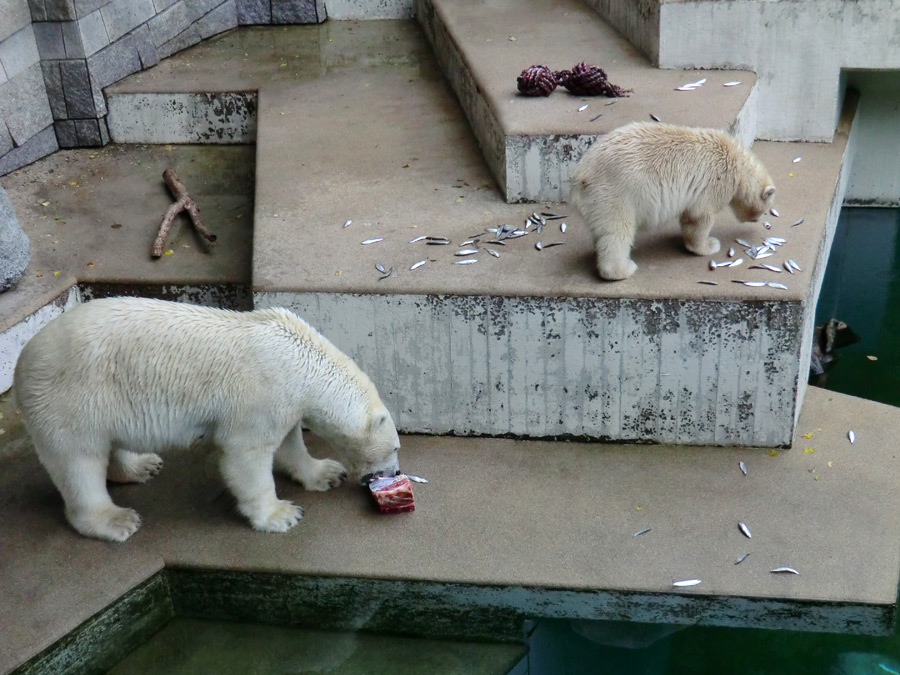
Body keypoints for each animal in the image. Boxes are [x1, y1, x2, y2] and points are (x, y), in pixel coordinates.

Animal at [13, 298, 400, 540]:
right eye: (395, 448)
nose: (393, 473)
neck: (300, 358)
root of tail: (22, 361)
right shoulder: (260, 392)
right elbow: (245, 454)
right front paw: (281, 514)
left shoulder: (283, 400)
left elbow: (290, 442)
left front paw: (326, 473)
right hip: (69, 399)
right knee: (78, 461)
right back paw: (116, 520)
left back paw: (142, 466)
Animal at [568, 121, 772, 280]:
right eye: (766, 208)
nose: (757, 219)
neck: (736, 161)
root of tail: (581, 174)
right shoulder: (715, 181)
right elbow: (699, 217)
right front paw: (709, 245)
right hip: (614, 192)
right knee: (617, 231)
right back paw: (623, 269)